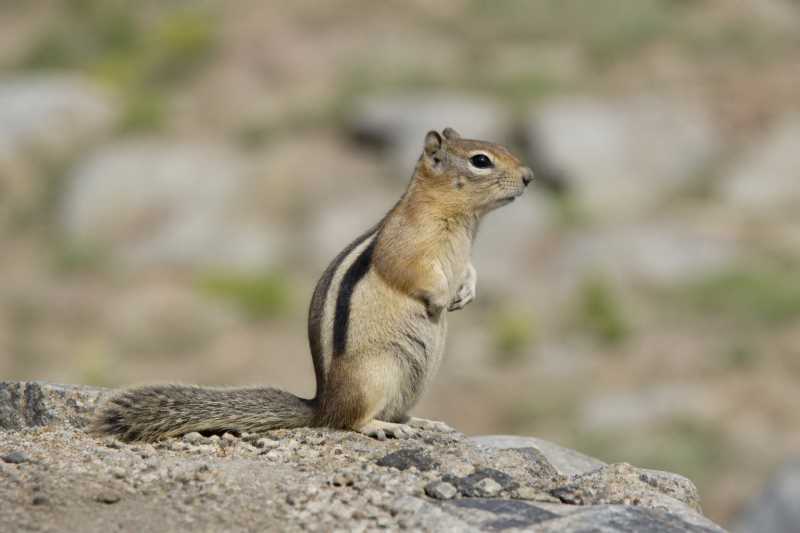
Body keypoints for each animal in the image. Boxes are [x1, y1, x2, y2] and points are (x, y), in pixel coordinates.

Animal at [93, 127, 533, 441]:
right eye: (481, 161)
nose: (529, 177)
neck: (464, 222)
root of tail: (322, 405)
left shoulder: (463, 254)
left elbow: (470, 269)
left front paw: (467, 291)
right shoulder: (406, 247)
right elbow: (413, 274)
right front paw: (442, 299)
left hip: (413, 380)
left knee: (396, 411)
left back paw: (424, 422)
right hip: (375, 374)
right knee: (351, 421)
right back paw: (380, 427)